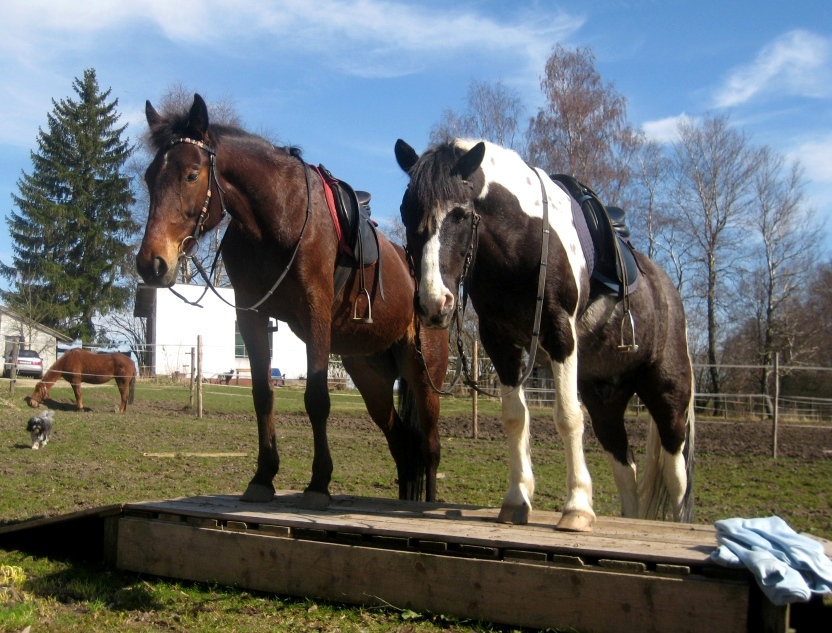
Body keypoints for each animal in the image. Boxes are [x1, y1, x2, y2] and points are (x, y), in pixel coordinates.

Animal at [136, 94, 448, 508]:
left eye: (191, 174)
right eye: (149, 177)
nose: (152, 263)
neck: (274, 218)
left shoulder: (315, 312)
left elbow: (317, 398)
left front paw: (318, 484)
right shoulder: (251, 316)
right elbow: (262, 394)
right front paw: (263, 477)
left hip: (425, 372)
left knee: (429, 448)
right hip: (372, 378)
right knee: (402, 444)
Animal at [396, 139, 696, 532]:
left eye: (460, 213)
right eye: (406, 211)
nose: (434, 303)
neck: (522, 239)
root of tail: (667, 290)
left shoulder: (559, 335)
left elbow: (567, 417)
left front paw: (577, 507)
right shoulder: (500, 344)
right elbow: (515, 418)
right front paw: (516, 501)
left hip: (668, 394)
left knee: (677, 475)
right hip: (607, 400)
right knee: (624, 467)